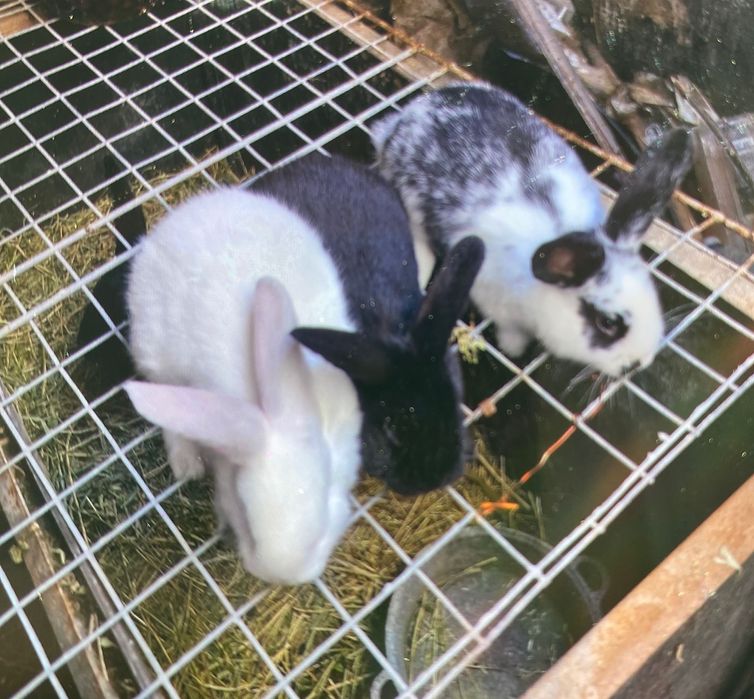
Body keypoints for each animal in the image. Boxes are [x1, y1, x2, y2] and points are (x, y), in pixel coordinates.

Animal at [371, 81, 694, 379]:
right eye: (607, 323)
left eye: (652, 294)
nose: (641, 362)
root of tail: (405, 118)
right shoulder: (500, 310)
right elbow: (511, 336)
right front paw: (514, 350)